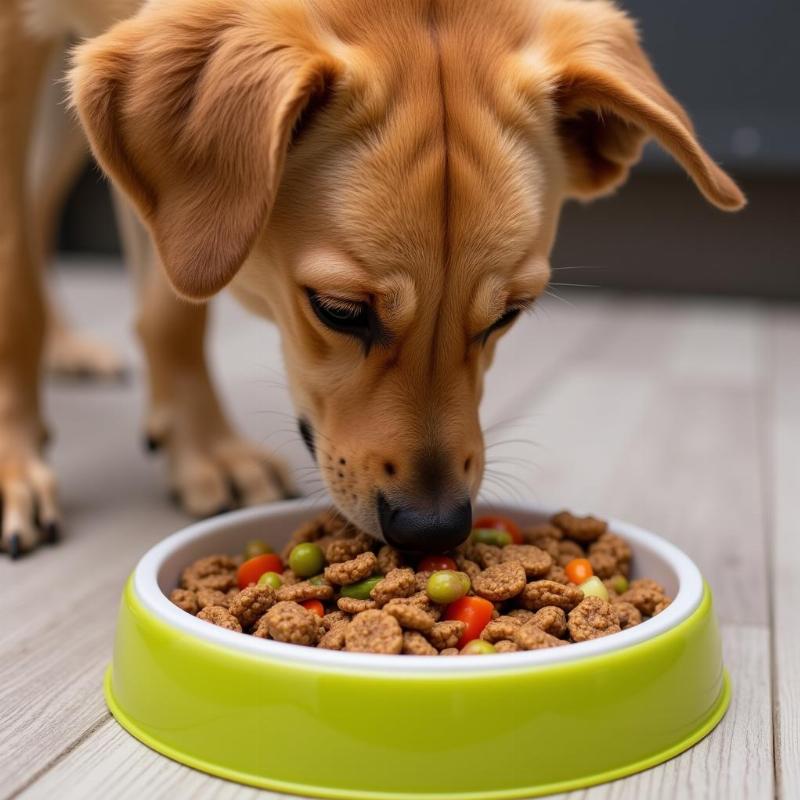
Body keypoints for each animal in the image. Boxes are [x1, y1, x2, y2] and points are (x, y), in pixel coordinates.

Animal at [0, 0, 744, 556]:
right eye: (338, 310)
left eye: (510, 314)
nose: (434, 531)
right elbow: (15, 295)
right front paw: (12, 469)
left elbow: (175, 305)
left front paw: (203, 449)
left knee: (42, 202)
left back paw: (71, 345)